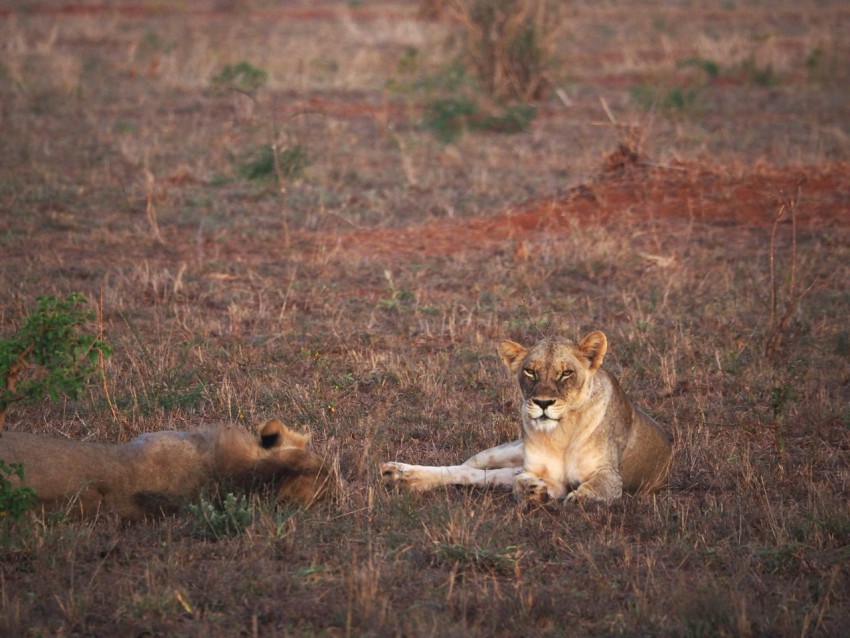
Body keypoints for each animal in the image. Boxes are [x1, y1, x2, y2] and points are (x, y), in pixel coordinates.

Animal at [381, 331, 672, 503]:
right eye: (530, 371)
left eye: (566, 373)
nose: (543, 403)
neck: (561, 433)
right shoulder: (545, 476)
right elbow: (521, 484)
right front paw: (532, 490)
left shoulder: (610, 475)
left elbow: (597, 489)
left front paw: (578, 498)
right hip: (497, 454)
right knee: (466, 468)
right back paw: (396, 473)